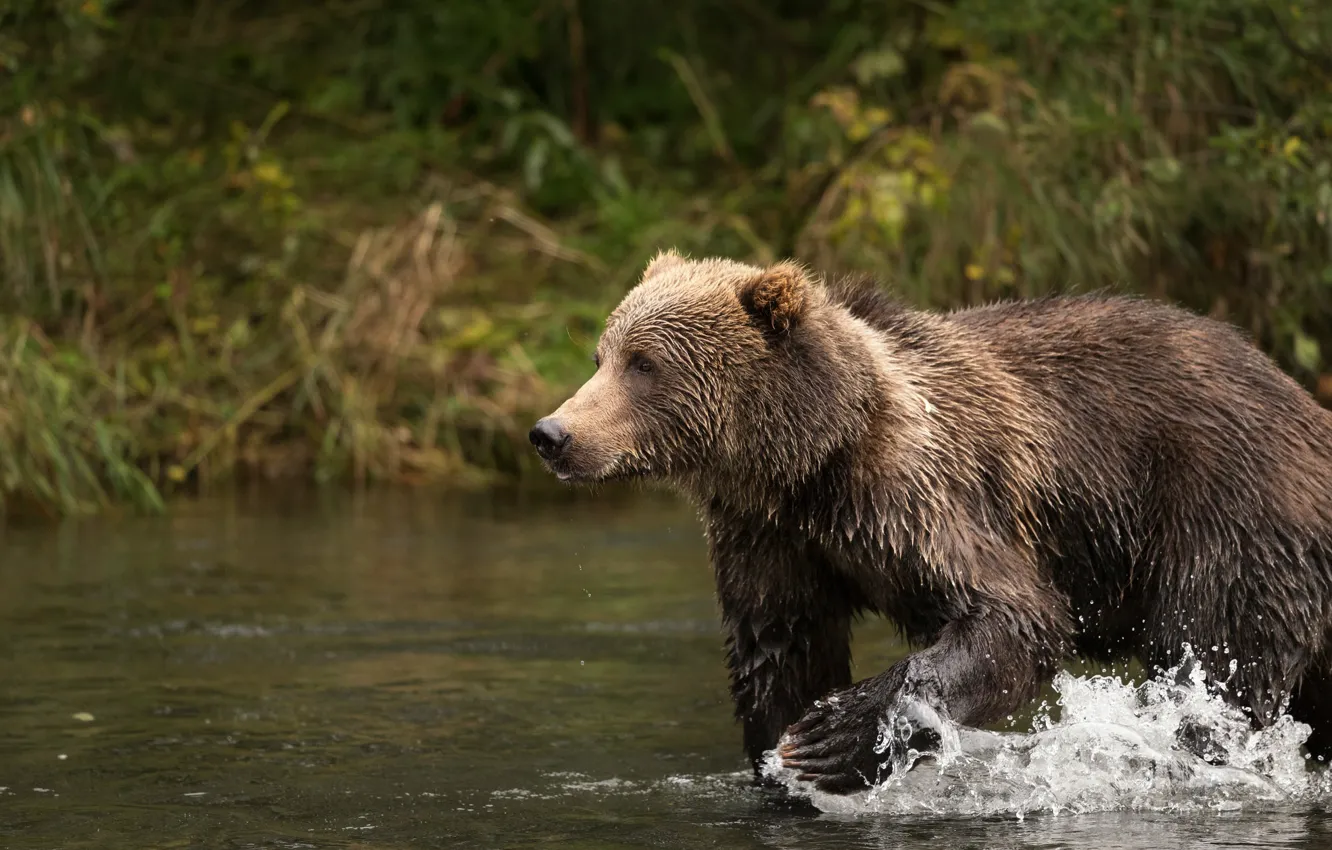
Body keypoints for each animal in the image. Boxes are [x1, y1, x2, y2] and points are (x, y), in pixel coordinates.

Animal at [529, 251, 1332, 794]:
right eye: (602, 355)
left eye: (643, 364)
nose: (552, 433)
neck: (807, 459)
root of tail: (1304, 405)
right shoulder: (766, 535)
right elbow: (779, 648)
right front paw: (781, 756)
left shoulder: (914, 494)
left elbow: (1013, 615)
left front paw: (833, 735)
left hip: (1228, 507)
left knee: (1215, 660)